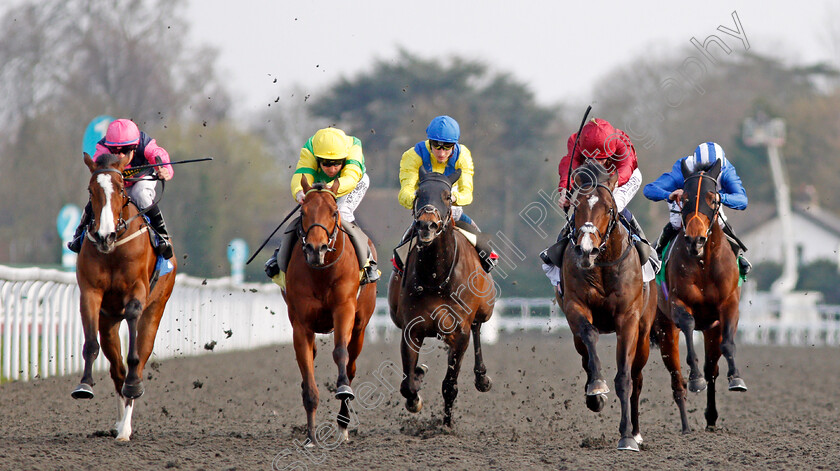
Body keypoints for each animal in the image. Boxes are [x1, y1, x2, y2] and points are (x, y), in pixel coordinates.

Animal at [71, 153, 176, 440]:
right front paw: (84, 386)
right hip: (108, 323)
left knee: (137, 362)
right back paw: (120, 425)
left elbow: (134, 347)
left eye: (120, 189)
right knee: (116, 370)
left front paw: (134, 386)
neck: (114, 248)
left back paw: (127, 423)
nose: (104, 235)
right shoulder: (90, 293)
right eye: (90, 190)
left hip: (156, 310)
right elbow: (91, 344)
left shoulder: (137, 290)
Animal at [286, 177, 378, 446]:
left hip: (360, 327)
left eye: (334, 212)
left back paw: (343, 423)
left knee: (351, 364)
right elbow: (307, 370)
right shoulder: (300, 325)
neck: (321, 272)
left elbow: (340, 352)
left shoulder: (343, 309)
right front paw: (310, 436)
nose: (316, 249)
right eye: (303, 212)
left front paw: (343, 391)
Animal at [388, 169, 496, 428]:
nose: (426, 224)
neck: (436, 275)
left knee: (478, 329)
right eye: (418, 193)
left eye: (448, 196)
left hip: (484, 309)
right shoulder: (411, 329)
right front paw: (415, 394)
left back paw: (482, 378)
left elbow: (450, 384)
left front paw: (447, 425)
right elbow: (407, 384)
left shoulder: (460, 331)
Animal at [560, 160, 660, 452]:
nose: (586, 250)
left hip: (644, 335)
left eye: (608, 208)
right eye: (576, 205)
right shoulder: (575, 307)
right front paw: (596, 388)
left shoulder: (628, 319)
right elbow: (590, 337)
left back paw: (636, 432)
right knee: (585, 354)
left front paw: (626, 436)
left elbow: (624, 377)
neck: (602, 265)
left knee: (637, 378)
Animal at [652, 159, 744, 436]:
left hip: (711, 330)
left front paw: (736, 378)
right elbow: (688, 327)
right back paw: (685, 426)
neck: (704, 263)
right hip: (664, 330)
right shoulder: (678, 304)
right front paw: (695, 380)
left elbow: (728, 345)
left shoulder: (728, 305)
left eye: (712, 198)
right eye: (684, 198)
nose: (695, 239)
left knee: (712, 369)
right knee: (677, 380)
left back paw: (711, 418)